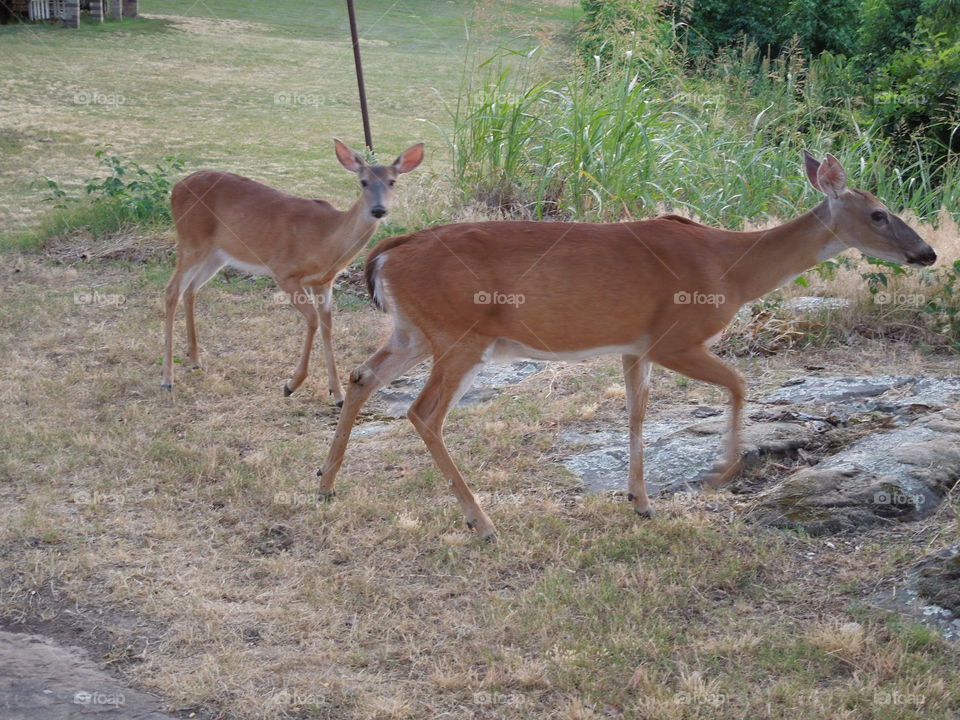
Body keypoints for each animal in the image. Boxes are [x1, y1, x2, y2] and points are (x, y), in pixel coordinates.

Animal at [160, 139, 425, 402]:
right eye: (363, 181)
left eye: (392, 181)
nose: (378, 210)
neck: (326, 239)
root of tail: (176, 187)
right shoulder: (284, 272)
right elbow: (313, 319)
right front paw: (292, 384)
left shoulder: (324, 282)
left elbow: (328, 327)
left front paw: (338, 392)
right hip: (191, 240)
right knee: (172, 290)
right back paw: (167, 379)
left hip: (217, 254)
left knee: (190, 289)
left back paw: (195, 360)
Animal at [316, 152, 937, 539]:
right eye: (879, 213)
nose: (928, 252)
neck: (731, 270)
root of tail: (386, 251)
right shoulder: (676, 337)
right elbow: (740, 383)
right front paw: (720, 473)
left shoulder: (634, 347)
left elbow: (638, 415)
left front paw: (640, 501)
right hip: (461, 334)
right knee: (423, 412)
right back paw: (482, 522)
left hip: (415, 330)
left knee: (363, 375)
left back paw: (324, 485)